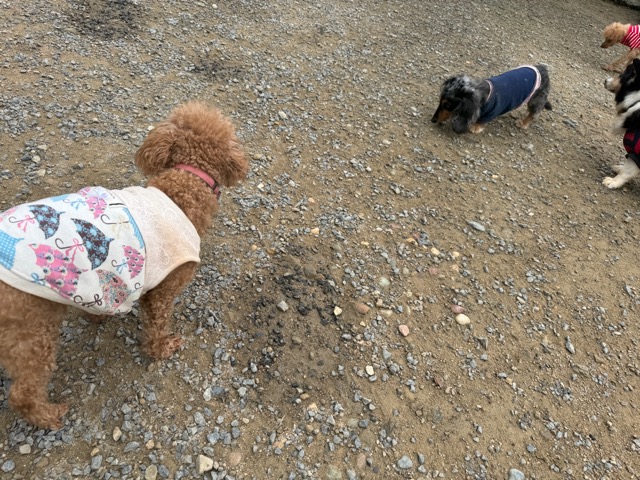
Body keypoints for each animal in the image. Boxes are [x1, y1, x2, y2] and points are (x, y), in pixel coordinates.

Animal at [0, 101, 248, 429]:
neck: (183, 188)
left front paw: (96, 318)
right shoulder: (163, 290)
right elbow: (157, 325)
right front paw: (162, 349)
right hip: (31, 332)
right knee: (23, 393)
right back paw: (50, 416)